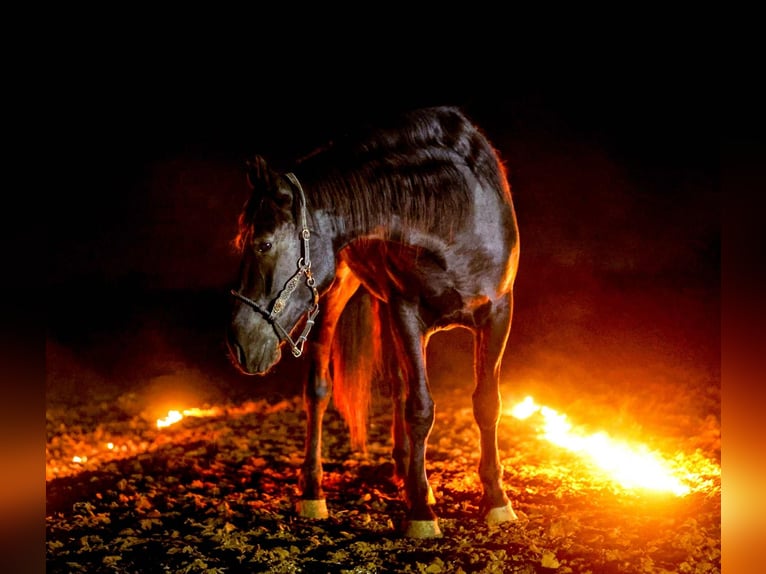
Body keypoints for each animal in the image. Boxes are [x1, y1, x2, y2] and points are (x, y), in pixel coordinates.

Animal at [226, 106, 520, 538]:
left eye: (262, 243)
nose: (238, 343)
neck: (454, 214)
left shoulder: (498, 314)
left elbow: (486, 403)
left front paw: (496, 499)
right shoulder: (406, 312)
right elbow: (421, 409)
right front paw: (421, 513)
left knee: (398, 383)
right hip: (335, 298)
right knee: (318, 390)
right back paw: (314, 491)